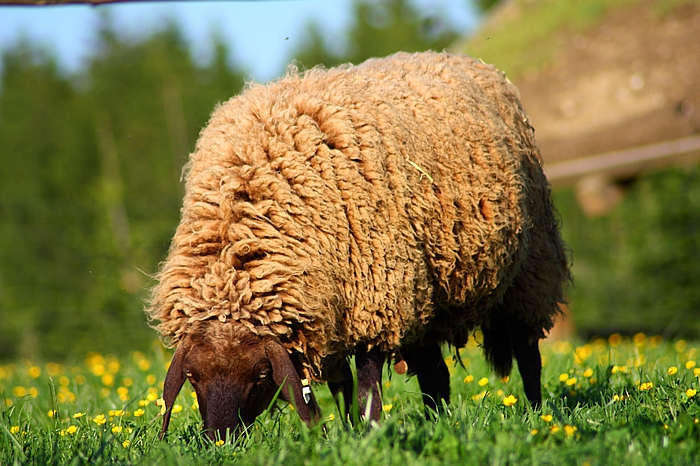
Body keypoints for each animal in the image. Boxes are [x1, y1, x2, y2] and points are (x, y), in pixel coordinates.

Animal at [147, 51, 570, 441]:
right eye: (192, 376)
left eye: (262, 374)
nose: (220, 440)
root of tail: (464, 59)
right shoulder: (333, 312)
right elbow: (342, 389)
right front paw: (349, 433)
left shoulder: (376, 300)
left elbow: (366, 385)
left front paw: (371, 433)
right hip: (425, 297)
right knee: (435, 373)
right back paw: (438, 420)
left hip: (532, 267)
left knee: (527, 352)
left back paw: (536, 413)